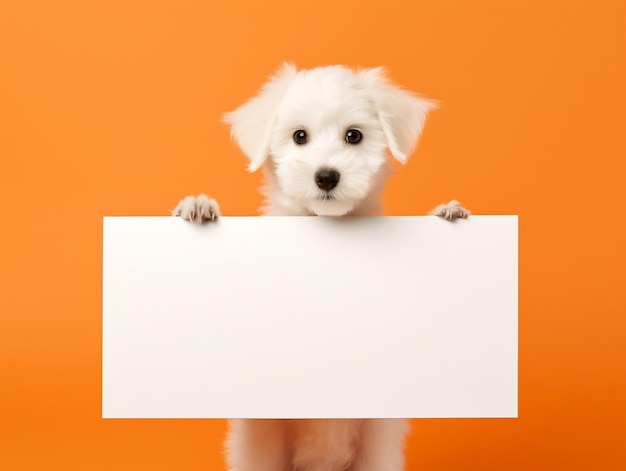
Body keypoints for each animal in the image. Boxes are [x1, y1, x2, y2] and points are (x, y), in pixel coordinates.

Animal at [173, 63, 466, 471]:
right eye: (299, 136)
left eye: (354, 135)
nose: (326, 176)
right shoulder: (264, 432)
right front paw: (196, 205)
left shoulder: (378, 431)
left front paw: (448, 210)